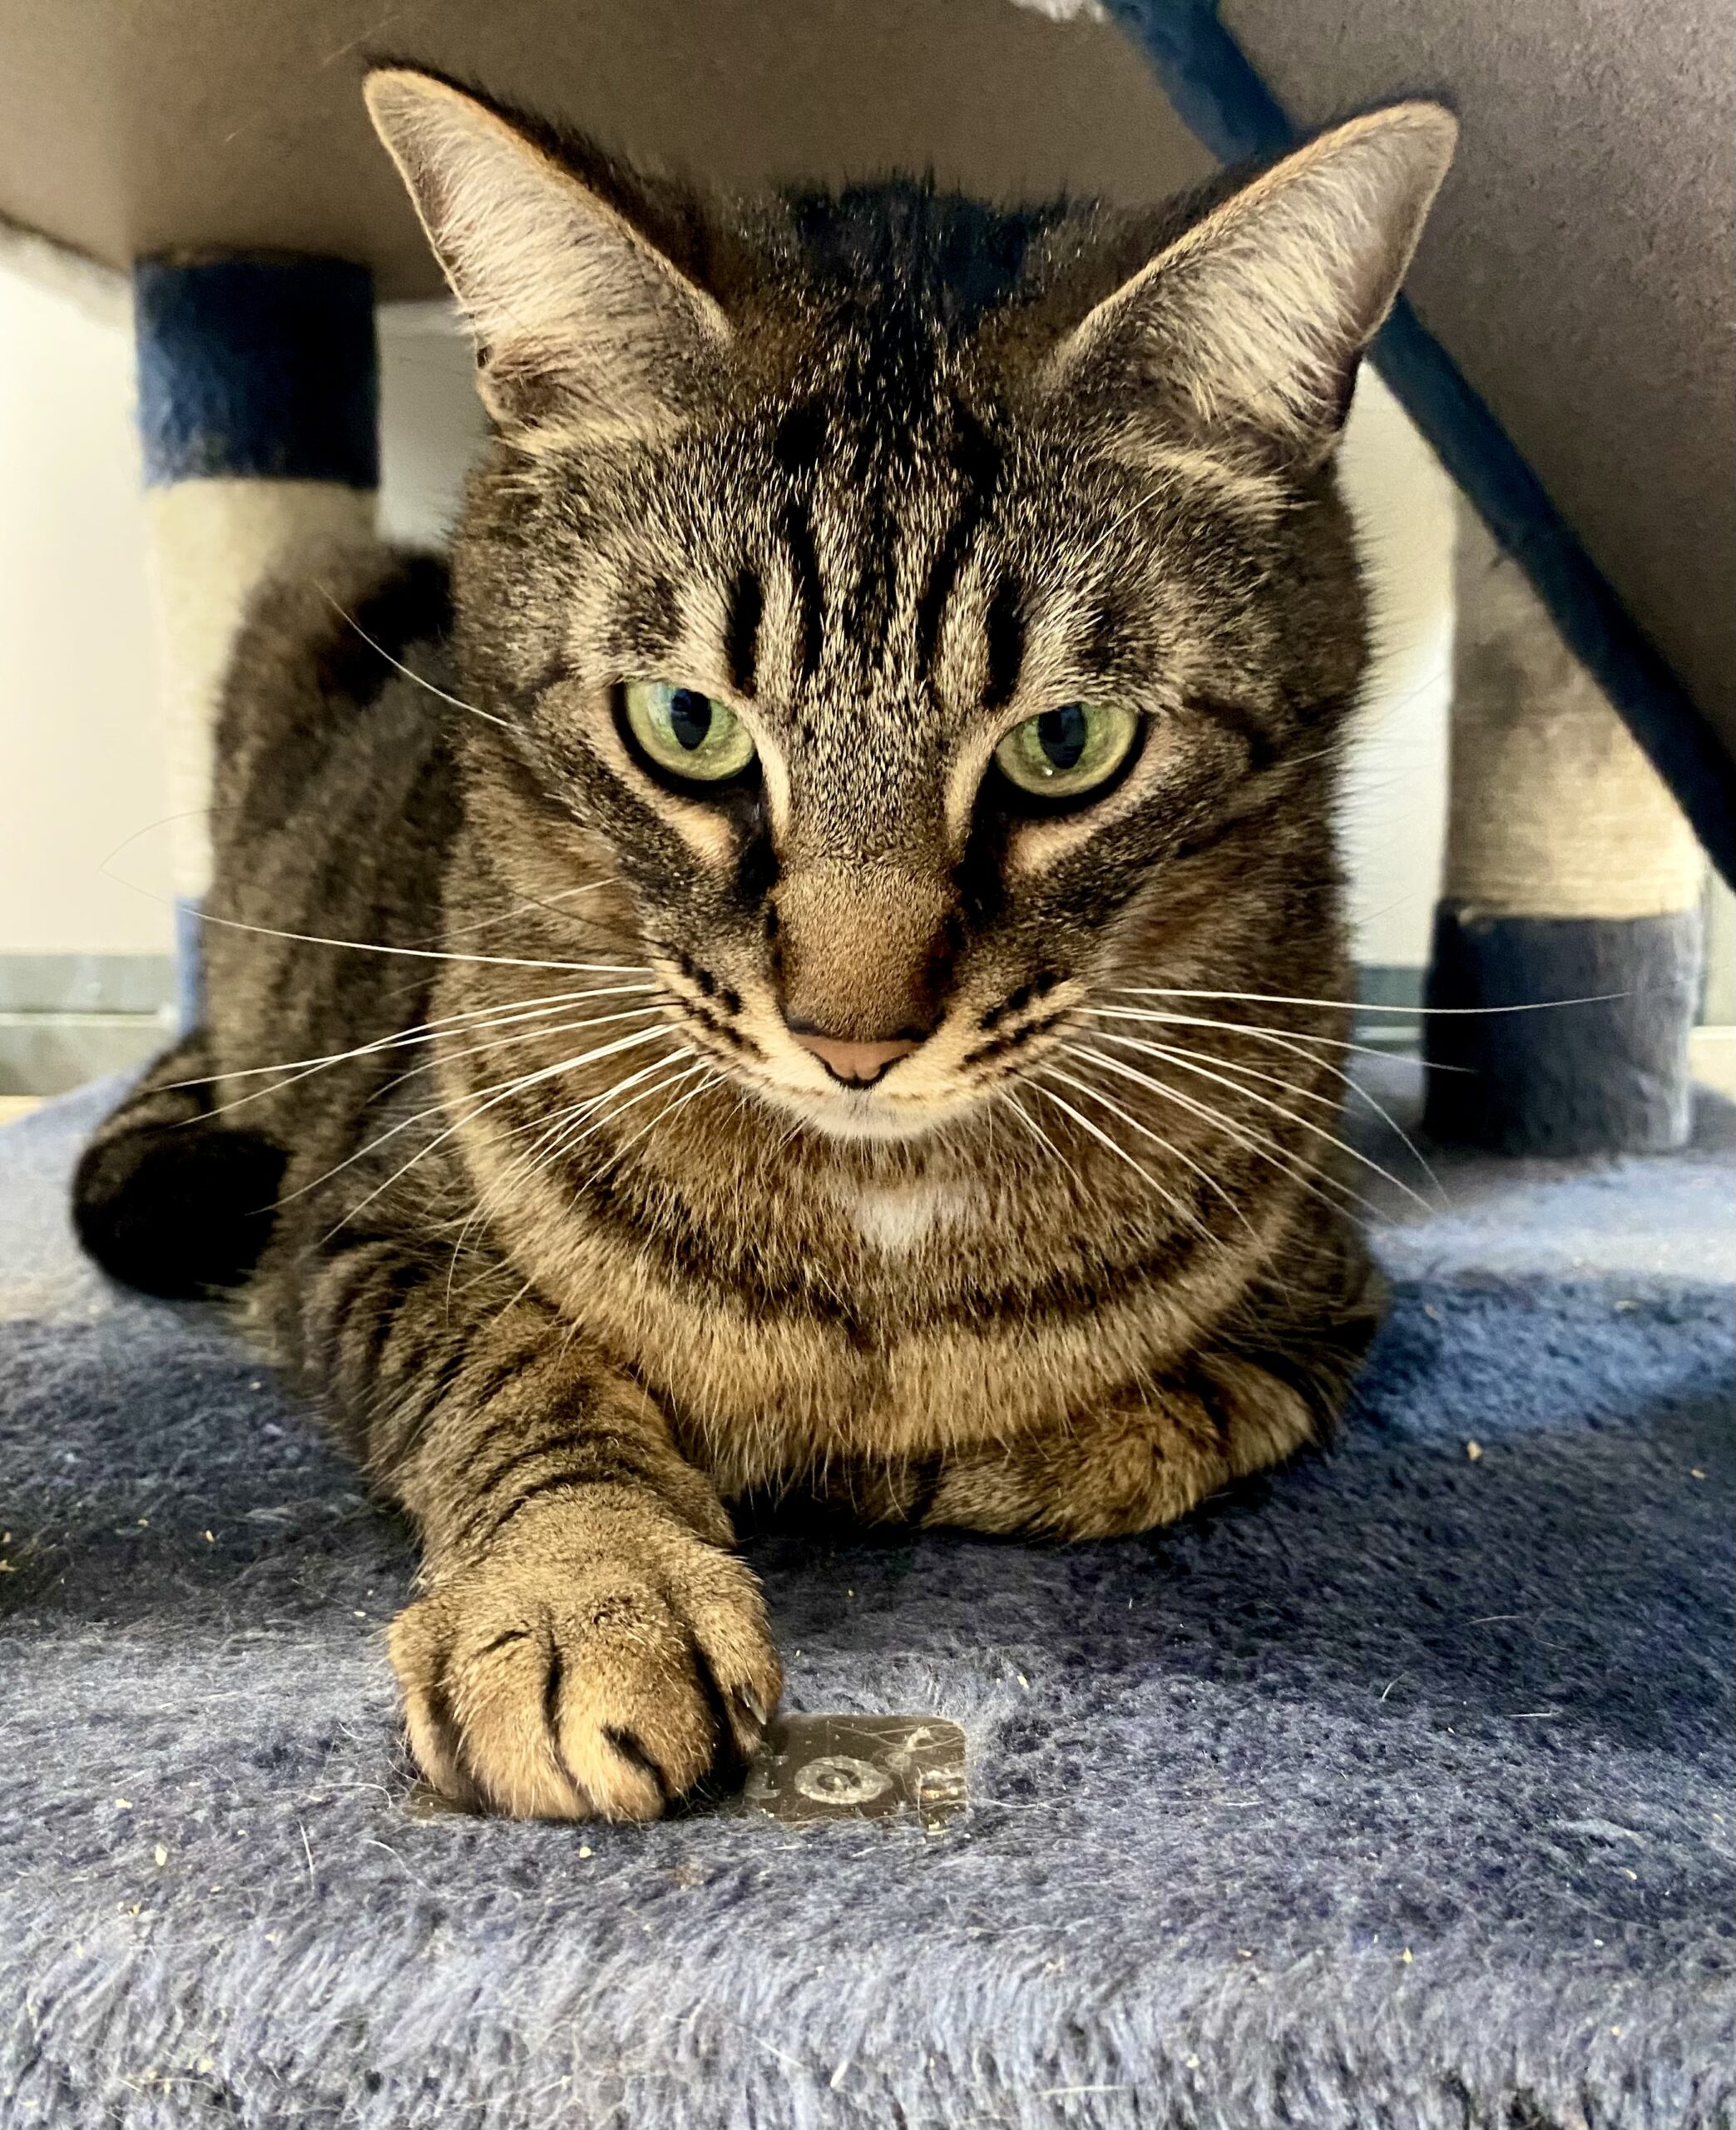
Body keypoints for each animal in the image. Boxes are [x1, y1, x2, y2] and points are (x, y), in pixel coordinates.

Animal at [74, 68, 1454, 1821]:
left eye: (1065, 745)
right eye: (687, 727)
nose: (852, 1041)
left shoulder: (1328, 1300)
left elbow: (1152, 1427)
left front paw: (929, 1455)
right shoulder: (363, 1223)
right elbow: (516, 1369)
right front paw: (582, 1590)